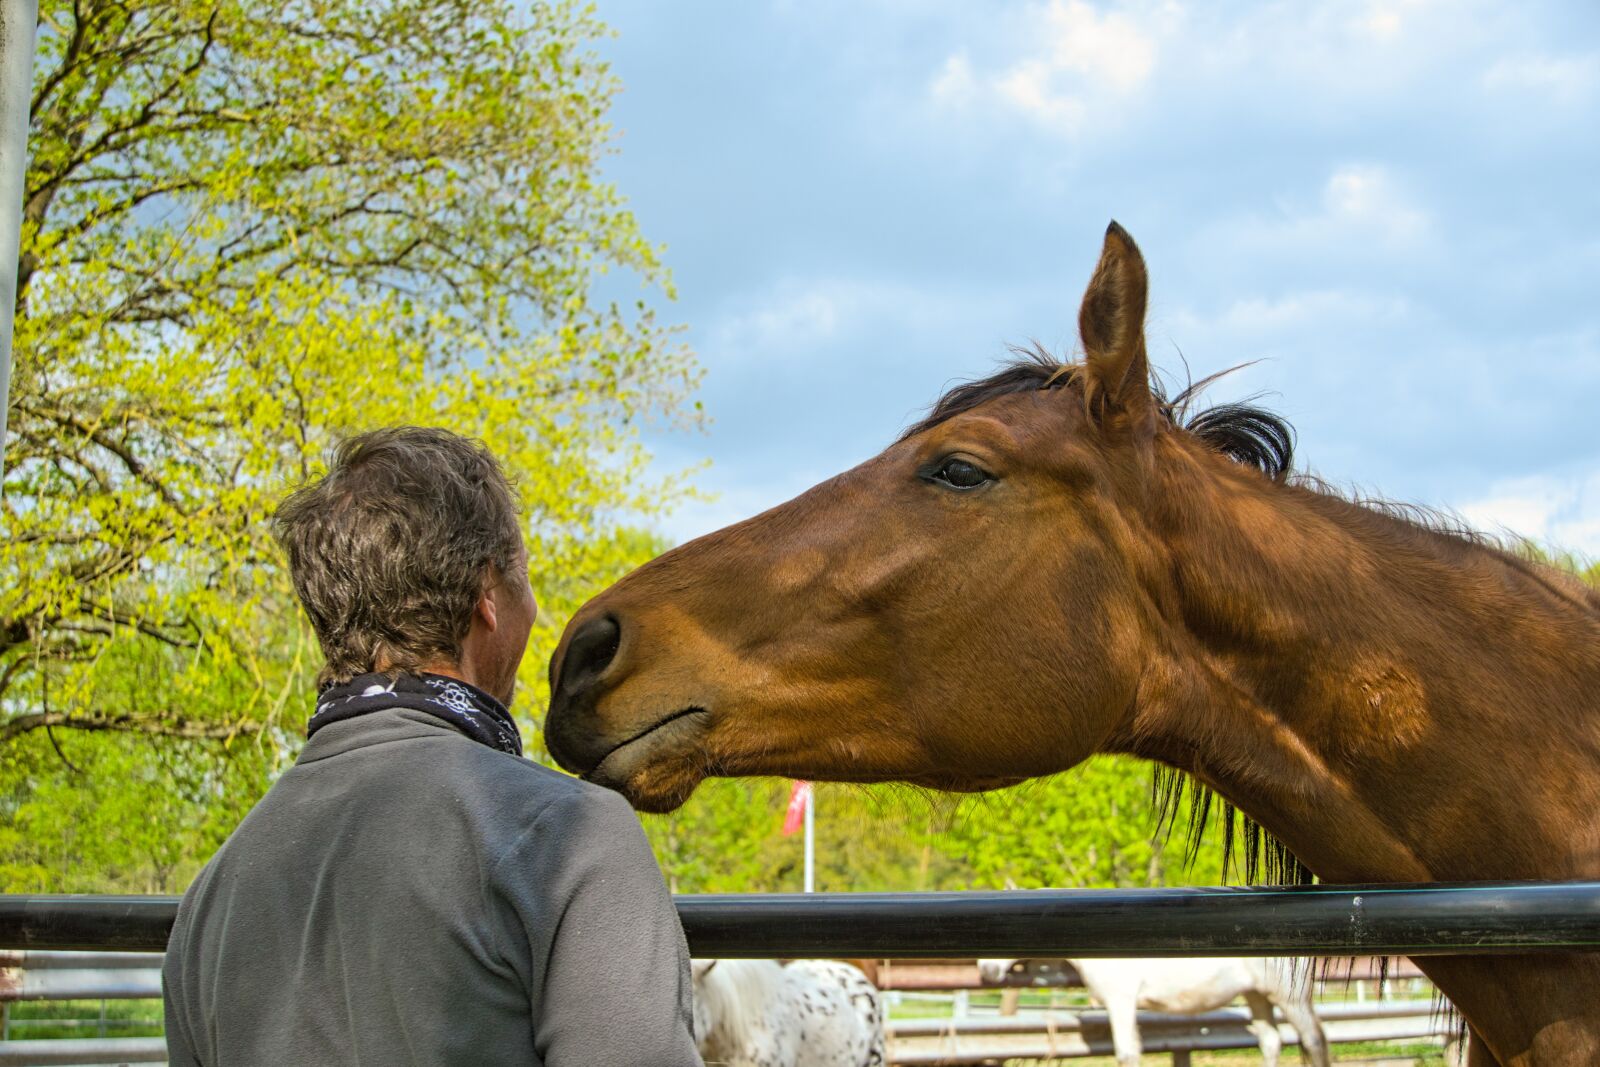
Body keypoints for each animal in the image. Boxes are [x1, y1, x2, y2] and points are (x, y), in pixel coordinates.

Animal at [978, 956, 1330, 1067]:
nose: (985, 971)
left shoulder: (1119, 1001)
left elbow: (1126, 1052)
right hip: (1256, 996)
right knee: (1271, 1041)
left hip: (1289, 997)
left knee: (1314, 1039)